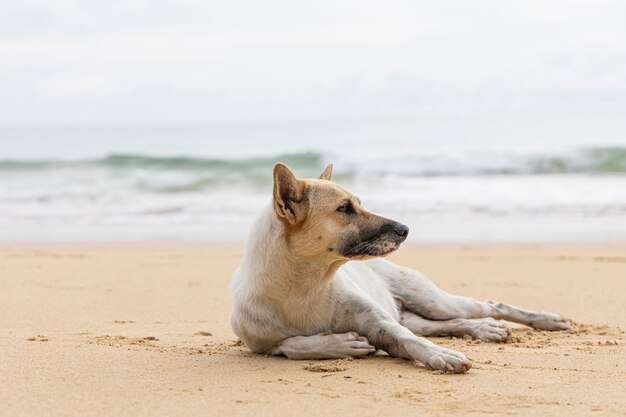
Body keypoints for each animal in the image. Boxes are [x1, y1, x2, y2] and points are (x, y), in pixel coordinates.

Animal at [230, 163, 572, 374]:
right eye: (344, 209)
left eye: (358, 202)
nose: (405, 229)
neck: (304, 286)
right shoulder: (260, 345)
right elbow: (290, 345)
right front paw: (338, 343)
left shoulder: (383, 325)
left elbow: (411, 341)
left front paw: (441, 355)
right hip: (418, 315)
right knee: (447, 324)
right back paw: (483, 329)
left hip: (433, 301)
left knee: (486, 305)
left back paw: (546, 320)